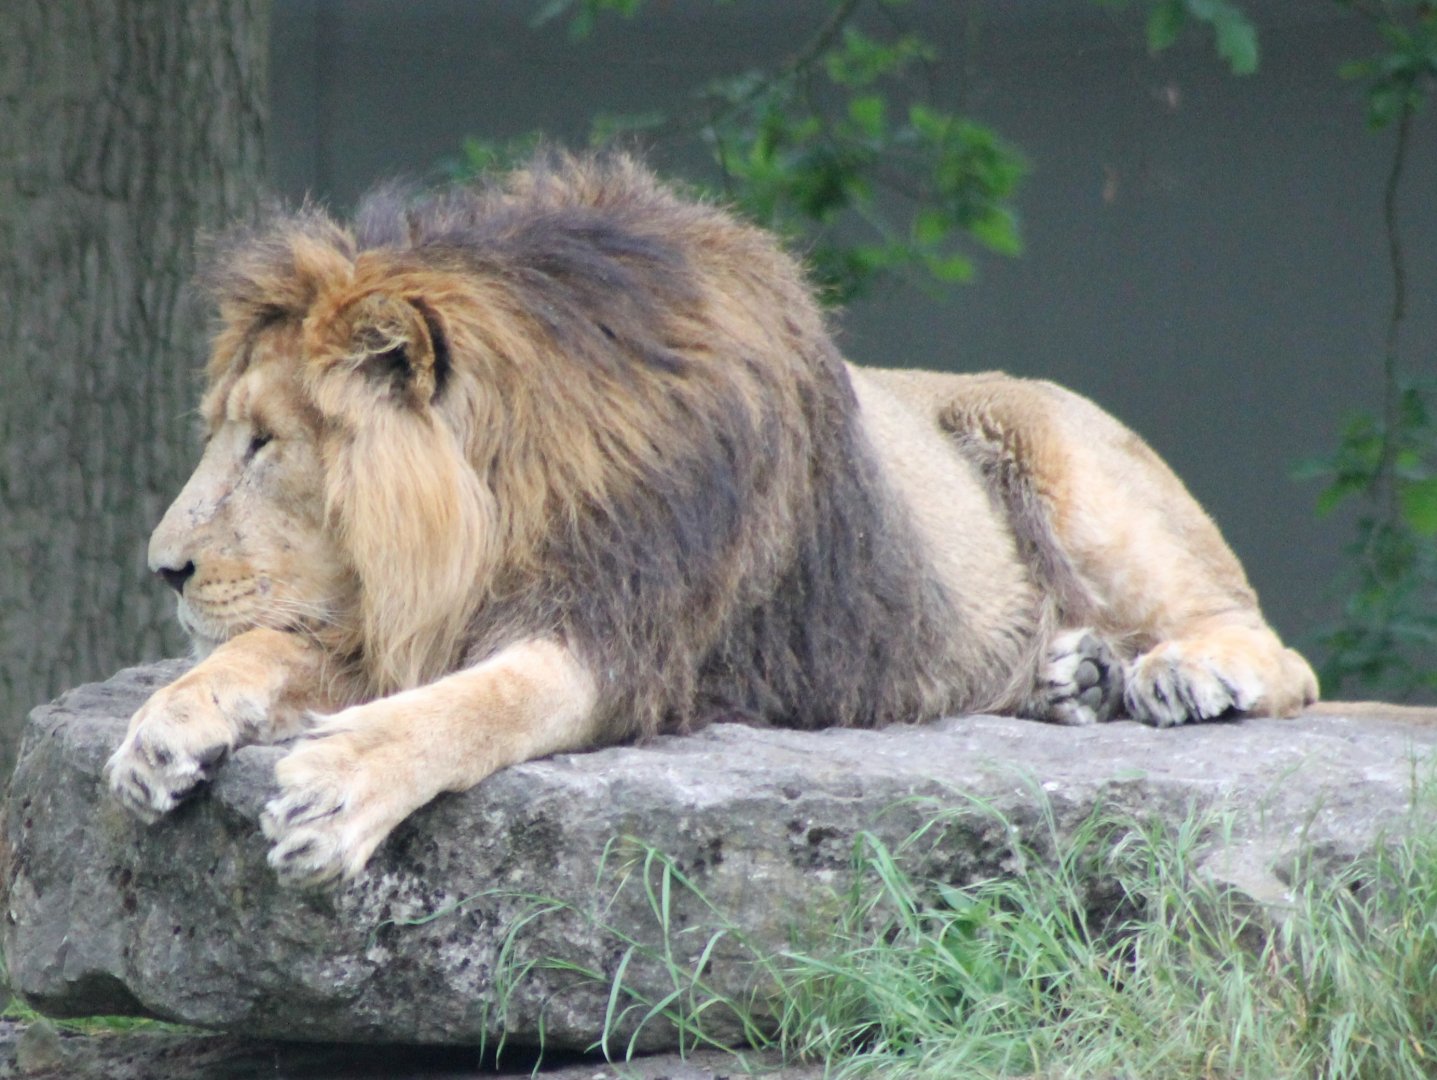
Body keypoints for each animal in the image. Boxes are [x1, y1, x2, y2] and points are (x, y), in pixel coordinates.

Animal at [104, 151, 1318, 886]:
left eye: (265, 443)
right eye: (225, 433)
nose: (161, 569)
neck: (508, 493)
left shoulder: (624, 635)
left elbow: (479, 704)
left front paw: (340, 785)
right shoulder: (413, 613)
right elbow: (268, 651)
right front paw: (166, 724)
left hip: (1063, 455)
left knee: (1276, 649)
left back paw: (1176, 676)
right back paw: (1076, 677)